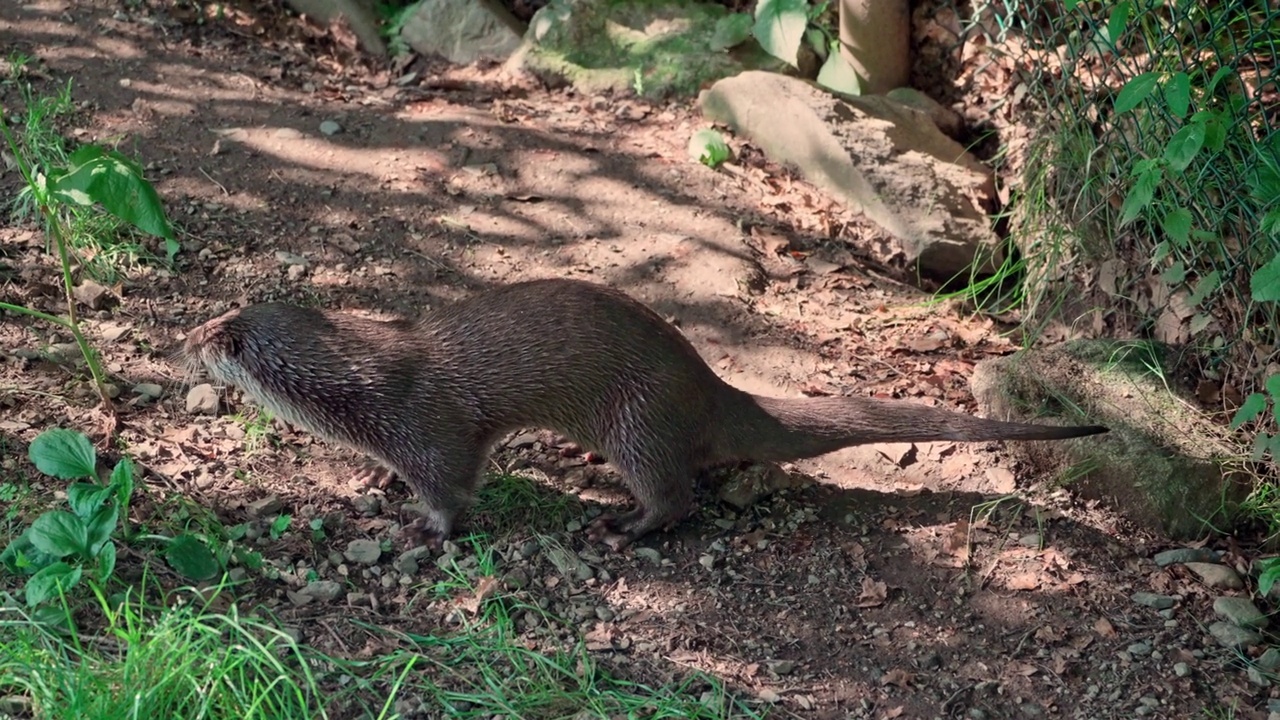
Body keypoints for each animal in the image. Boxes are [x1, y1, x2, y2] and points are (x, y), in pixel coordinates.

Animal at [183, 278, 1111, 545]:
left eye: (217, 335)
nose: (184, 334)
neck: (367, 381)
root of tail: (711, 387)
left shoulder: (429, 429)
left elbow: (452, 493)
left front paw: (421, 527)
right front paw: (378, 490)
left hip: (638, 421)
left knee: (677, 496)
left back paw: (627, 528)